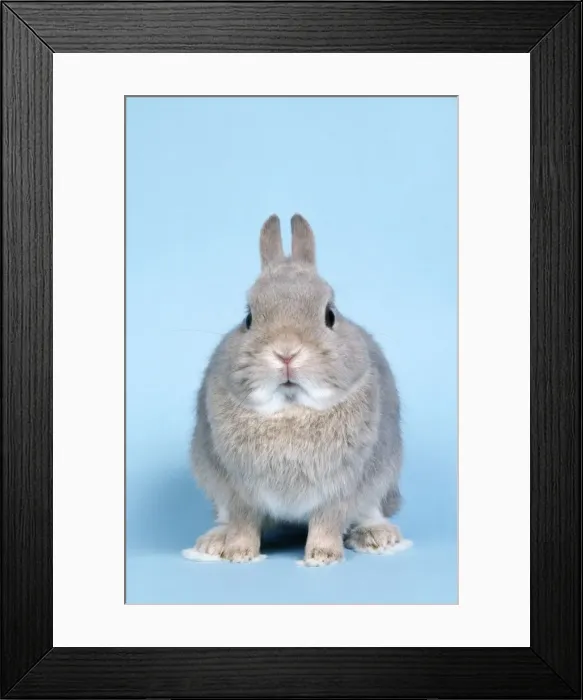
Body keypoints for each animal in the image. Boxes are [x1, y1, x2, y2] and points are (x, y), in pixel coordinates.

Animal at [189, 214, 403, 566]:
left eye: (330, 315)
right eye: (248, 318)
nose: (286, 352)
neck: (291, 410)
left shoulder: (341, 488)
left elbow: (327, 522)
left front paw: (322, 557)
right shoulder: (238, 491)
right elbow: (244, 522)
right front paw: (239, 554)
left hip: (382, 476)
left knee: (370, 510)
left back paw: (378, 537)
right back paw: (213, 543)